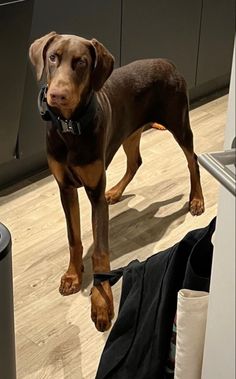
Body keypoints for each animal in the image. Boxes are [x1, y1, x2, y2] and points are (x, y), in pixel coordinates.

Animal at [28, 31, 204, 332]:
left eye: (82, 62)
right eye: (52, 57)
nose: (57, 95)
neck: (70, 127)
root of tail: (167, 62)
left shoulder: (94, 191)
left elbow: (100, 251)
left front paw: (101, 302)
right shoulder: (65, 188)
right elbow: (73, 237)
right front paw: (73, 276)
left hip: (179, 122)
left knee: (193, 160)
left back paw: (196, 199)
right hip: (129, 131)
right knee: (136, 162)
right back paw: (117, 191)